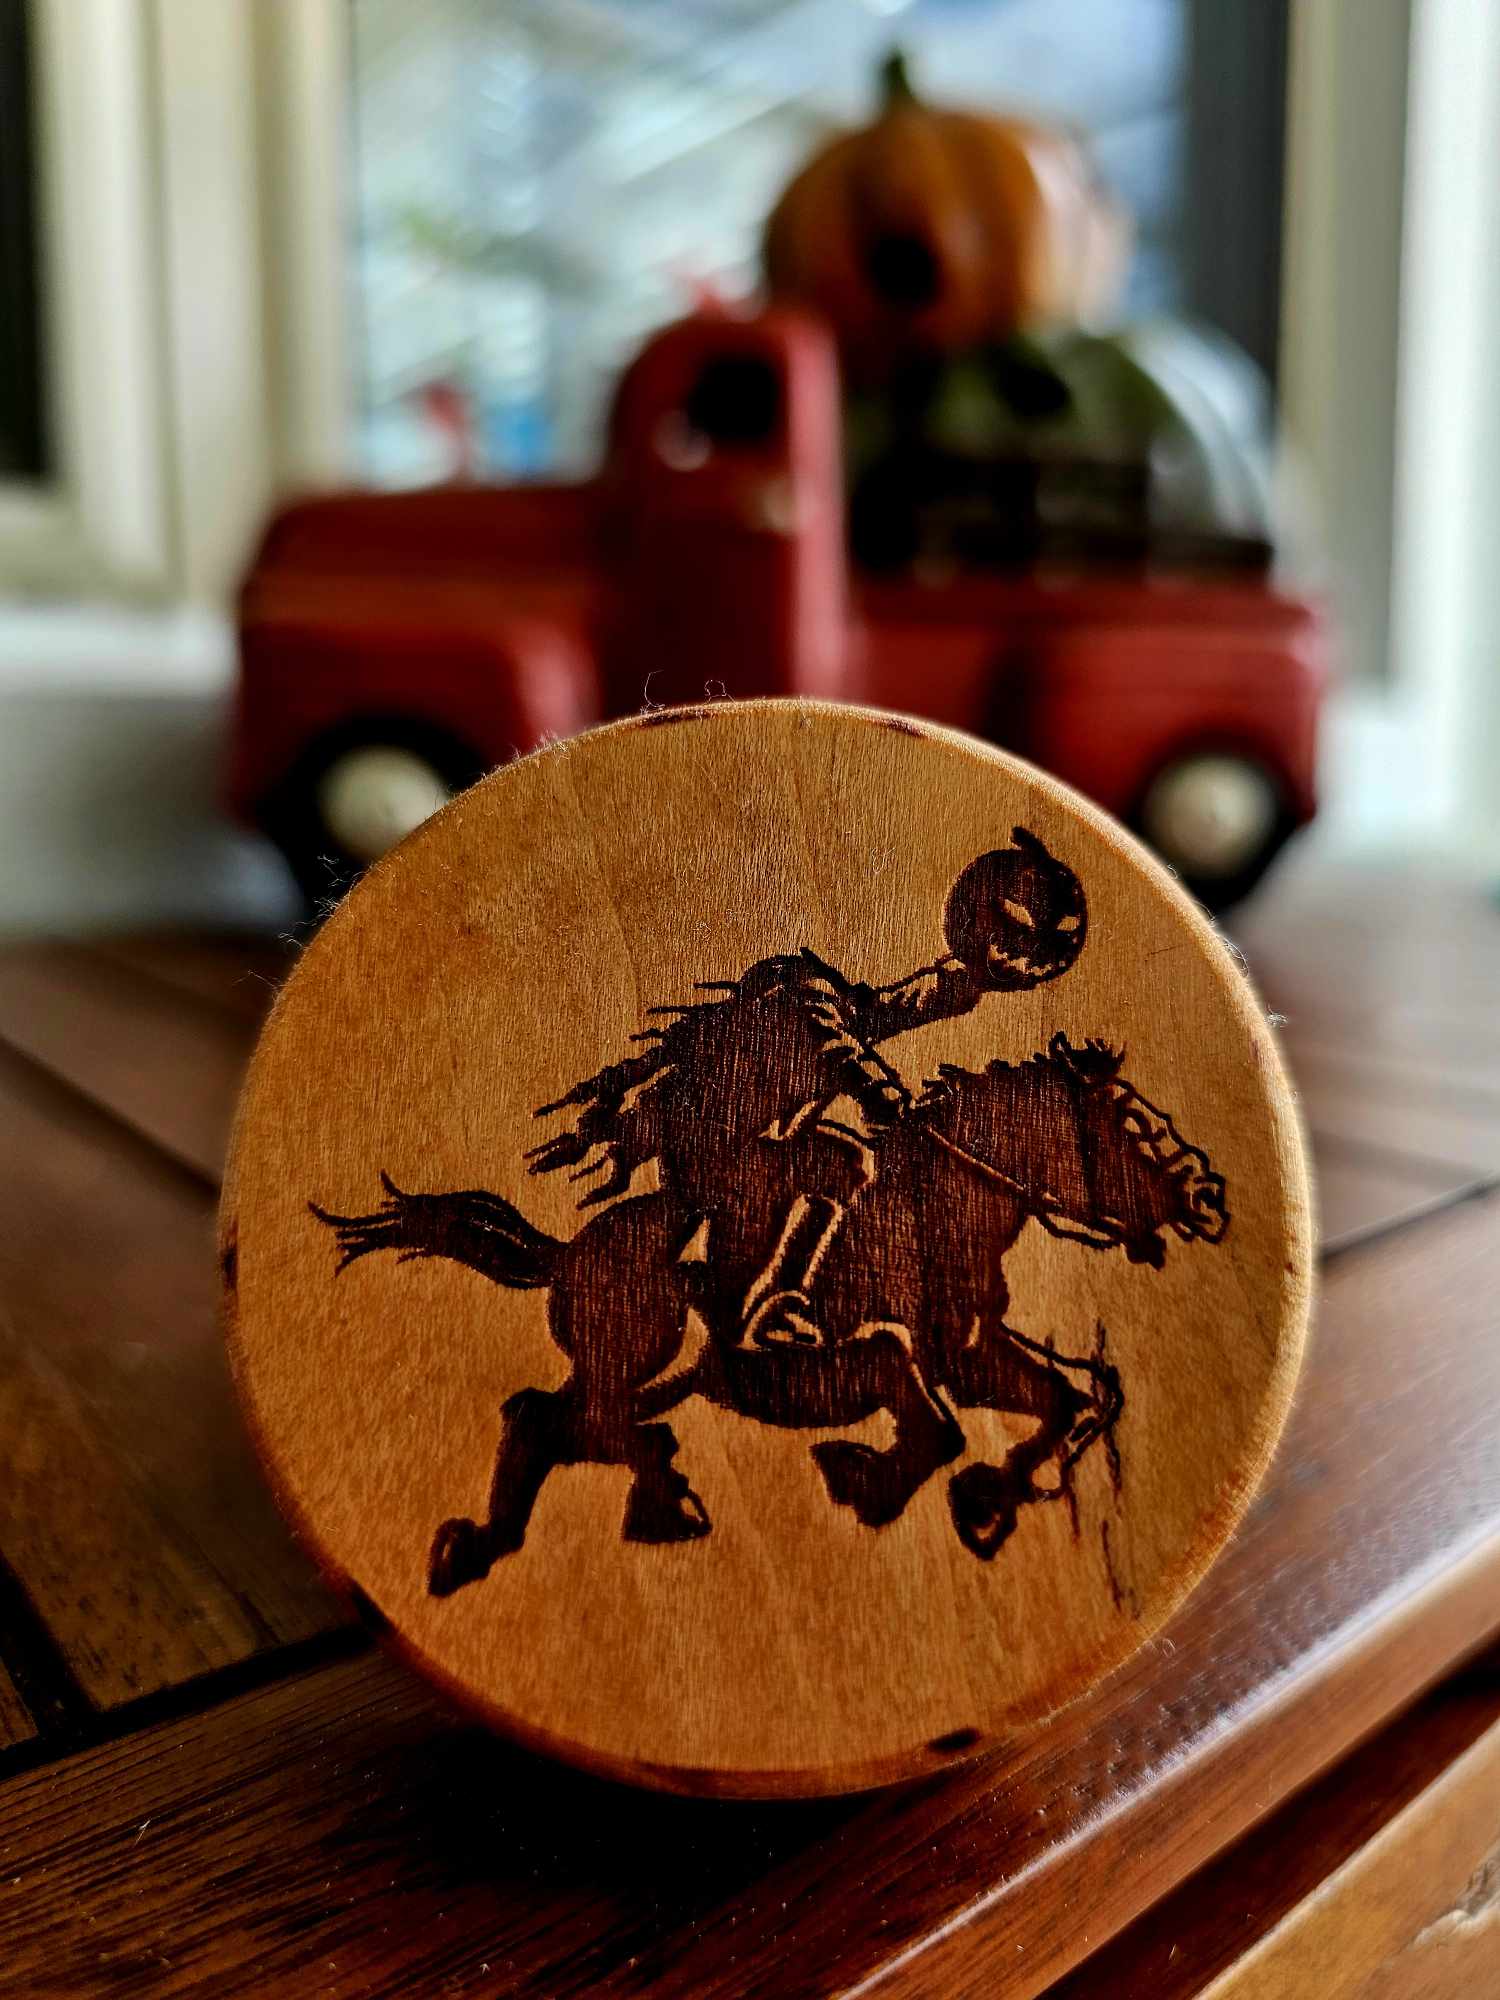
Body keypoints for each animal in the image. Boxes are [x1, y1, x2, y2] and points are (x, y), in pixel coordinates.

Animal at [312, 1032, 1224, 1592]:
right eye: (1130, 1123)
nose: (1211, 1197)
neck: (939, 1204)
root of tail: (569, 1254)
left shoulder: (970, 1350)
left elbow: (1081, 1393)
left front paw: (985, 1505)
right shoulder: (880, 1358)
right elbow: (941, 1421)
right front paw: (880, 1485)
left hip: (657, 1374)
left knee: (549, 1419)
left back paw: (509, 1540)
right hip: (649, 1356)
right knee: (568, 1419)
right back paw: (659, 1498)